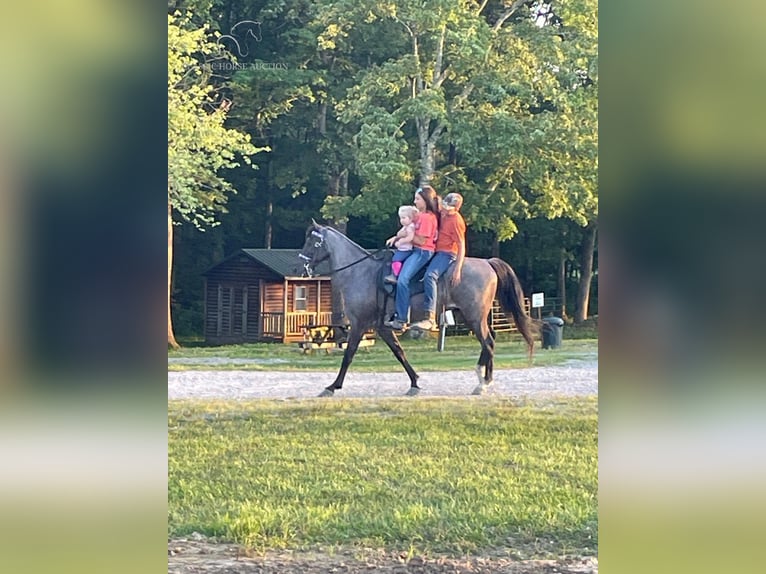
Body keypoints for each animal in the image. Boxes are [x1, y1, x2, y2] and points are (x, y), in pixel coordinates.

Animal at [296, 223, 536, 398]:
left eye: (312, 242)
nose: (300, 269)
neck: (360, 273)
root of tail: (487, 263)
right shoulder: (382, 327)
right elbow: (399, 352)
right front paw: (414, 383)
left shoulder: (359, 324)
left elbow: (348, 355)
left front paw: (332, 386)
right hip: (474, 316)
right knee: (489, 341)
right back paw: (483, 378)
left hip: (474, 316)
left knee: (488, 342)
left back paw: (484, 383)